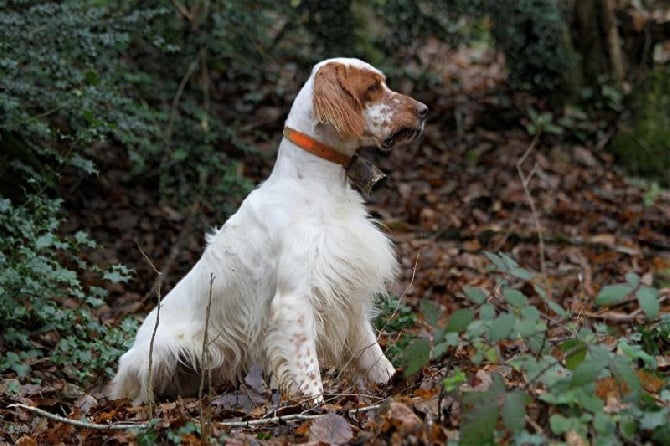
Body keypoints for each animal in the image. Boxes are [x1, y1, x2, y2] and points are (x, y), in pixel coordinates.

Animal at [109, 56, 426, 404]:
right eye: (372, 88)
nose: (424, 109)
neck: (316, 184)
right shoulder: (295, 302)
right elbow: (309, 371)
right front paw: (315, 409)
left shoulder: (347, 293)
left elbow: (374, 356)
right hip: (158, 354)